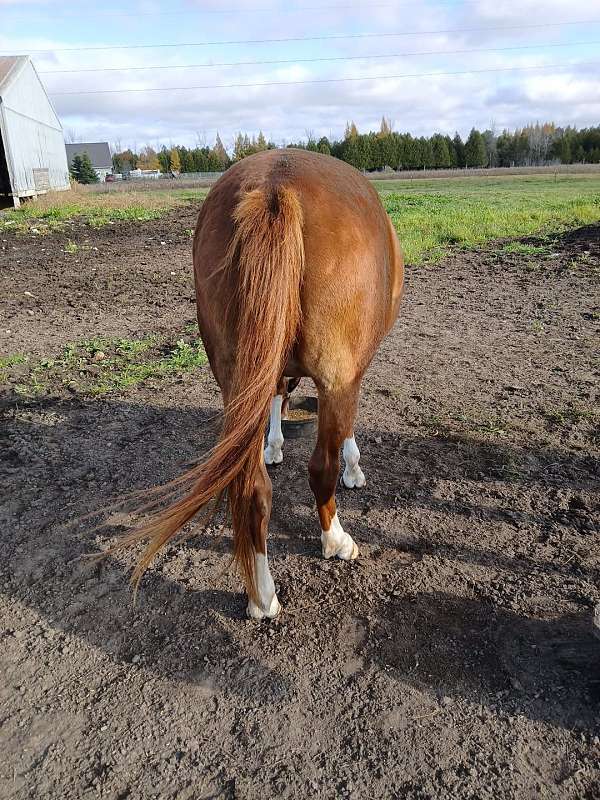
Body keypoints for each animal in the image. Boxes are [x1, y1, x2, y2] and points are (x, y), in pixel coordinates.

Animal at [116, 148, 404, 619]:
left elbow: (275, 398)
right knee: (319, 471)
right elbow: (346, 432)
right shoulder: (349, 376)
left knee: (251, 489)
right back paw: (334, 541)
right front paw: (354, 468)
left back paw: (262, 594)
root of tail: (276, 186)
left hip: (234, 377)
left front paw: (274, 445)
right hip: (334, 374)